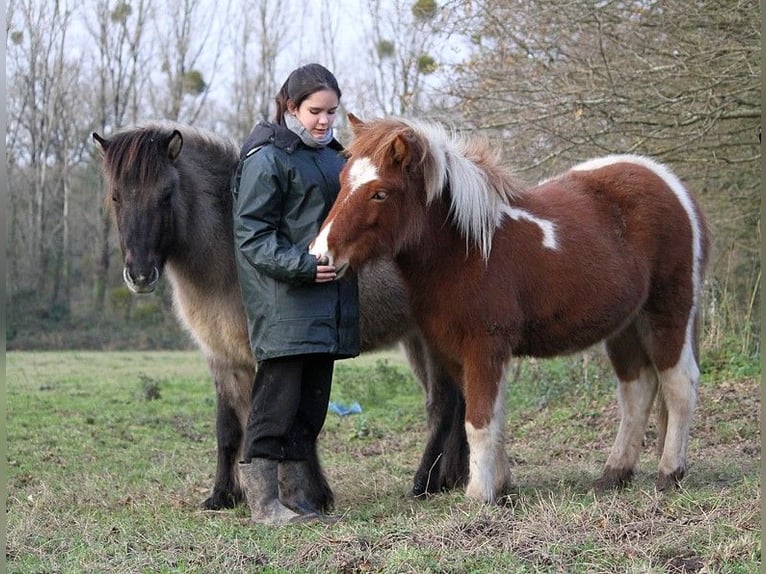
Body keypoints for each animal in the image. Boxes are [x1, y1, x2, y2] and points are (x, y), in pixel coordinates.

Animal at [93, 122, 472, 512]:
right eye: (116, 197)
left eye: (167, 194)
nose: (140, 275)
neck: (230, 251)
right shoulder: (223, 358)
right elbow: (229, 428)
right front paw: (222, 495)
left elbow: (284, 424)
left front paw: (311, 495)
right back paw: (451, 479)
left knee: (443, 404)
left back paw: (424, 482)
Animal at [314, 116, 712, 504]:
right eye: (343, 182)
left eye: (379, 193)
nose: (321, 256)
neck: (468, 250)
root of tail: (672, 185)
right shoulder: (456, 352)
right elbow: (491, 418)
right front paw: (502, 487)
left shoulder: (484, 346)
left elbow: (478, 421)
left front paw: (479, 495)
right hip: (625, 325)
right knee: (637, 390)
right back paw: (614, 475)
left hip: (668, 313)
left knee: (679, 384)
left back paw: (669, 473)